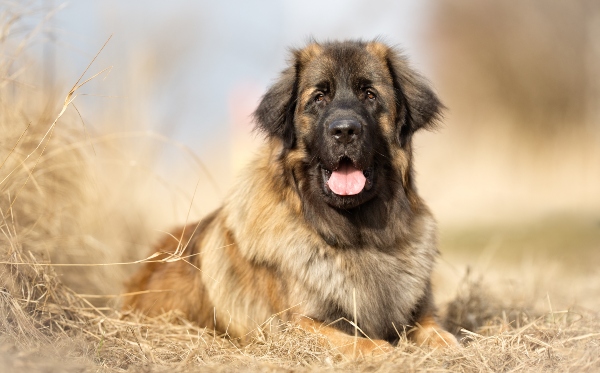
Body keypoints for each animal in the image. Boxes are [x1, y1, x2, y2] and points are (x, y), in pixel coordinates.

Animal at [124, 39, 458, 356]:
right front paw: (383, 351)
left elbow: (440, 334)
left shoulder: (420, 313)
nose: (344, 131)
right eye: (319, 97)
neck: (356, 236)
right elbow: (356, 342)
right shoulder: (296, 324)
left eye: (370, 95)